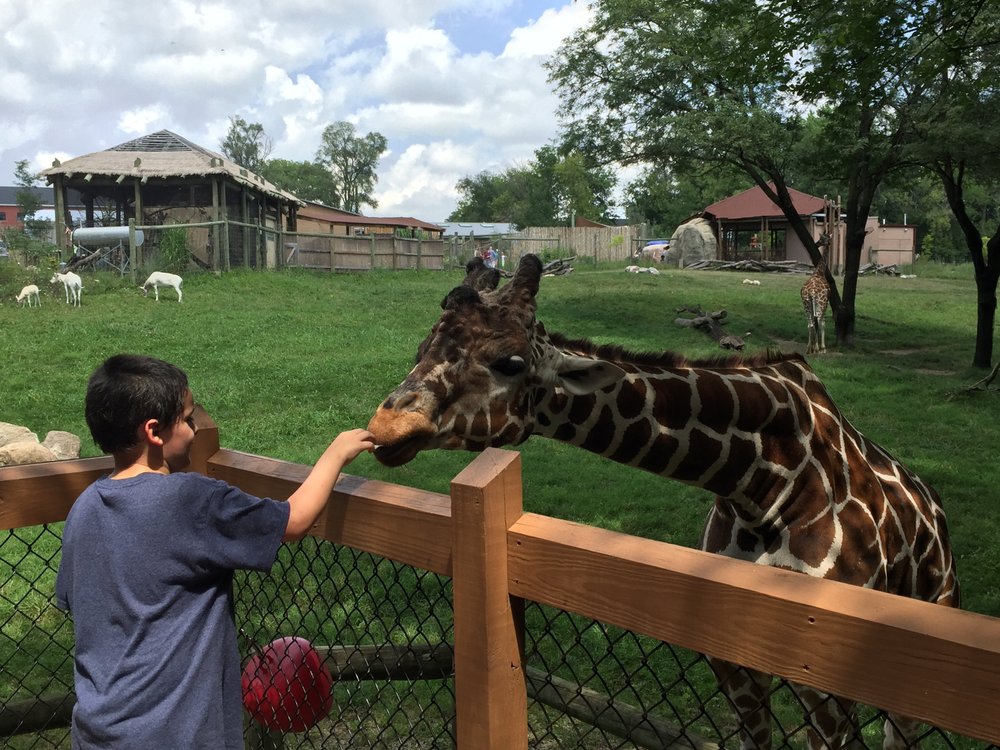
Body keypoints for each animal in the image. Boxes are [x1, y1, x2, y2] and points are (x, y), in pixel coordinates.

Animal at [366, 254, 952, 750]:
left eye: (510, 362)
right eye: (421, 348)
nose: (387, 426)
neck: (758, 486)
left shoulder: (827, 685)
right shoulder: (732, 664)